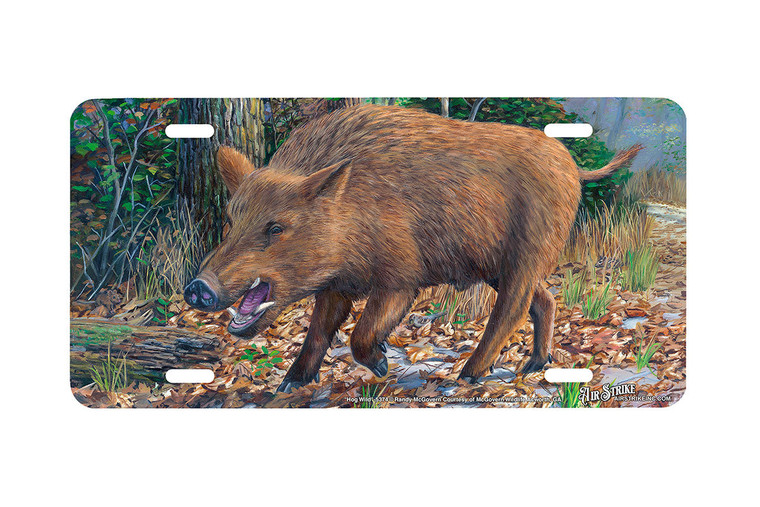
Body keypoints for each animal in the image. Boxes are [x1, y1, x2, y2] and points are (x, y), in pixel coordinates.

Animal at [184, 104, 641, 393]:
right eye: (230, 220)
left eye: (276, 227)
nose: (196, 288)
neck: (350, 214)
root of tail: (573, 166)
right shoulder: (337, 285)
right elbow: (318, 332)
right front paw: (289, 384)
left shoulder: (403, 276)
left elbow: (361, 332)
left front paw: (383, 364)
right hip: (497, 265)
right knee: (543, 300)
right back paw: (533, 366)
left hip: (529, 250)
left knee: (512, 308)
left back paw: (468, 376)